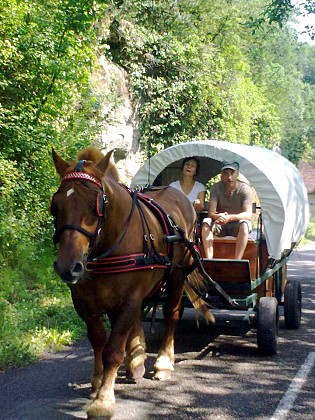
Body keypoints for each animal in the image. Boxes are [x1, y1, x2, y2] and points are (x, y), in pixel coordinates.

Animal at [51, 146, 200, 418]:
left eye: (96, 205)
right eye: (55, 205)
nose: (67, 266)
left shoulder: (130, 297)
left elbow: (112, 350)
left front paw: (103, 401)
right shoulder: (84, 301)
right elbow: (98, 341)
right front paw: (97, 382)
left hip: (176, 276)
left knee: (171, 314)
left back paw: (163, 363)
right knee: (138, 319)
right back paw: (136, 360)